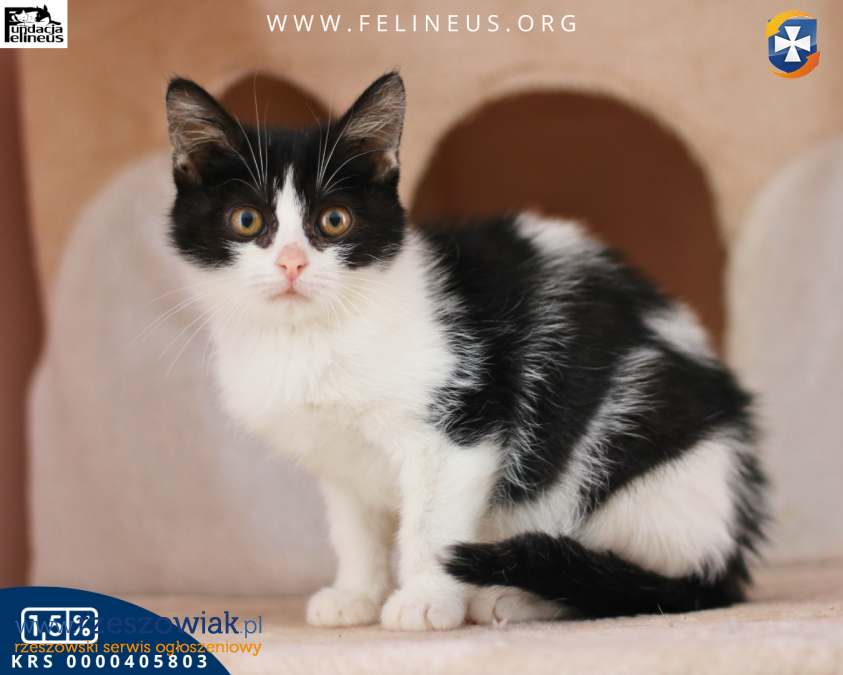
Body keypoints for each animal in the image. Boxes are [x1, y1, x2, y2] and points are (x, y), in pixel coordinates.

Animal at [165, 71, 767, 630]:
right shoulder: (338, 459)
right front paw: (356, 595)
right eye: (247, 220)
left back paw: (517, 597)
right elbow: (354, 527)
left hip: (638, 457)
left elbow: (431, 525)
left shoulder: (462, 429)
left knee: (620, 583)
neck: (310, 335)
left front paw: (425, 600)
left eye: (333, 220)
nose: (292, 263)